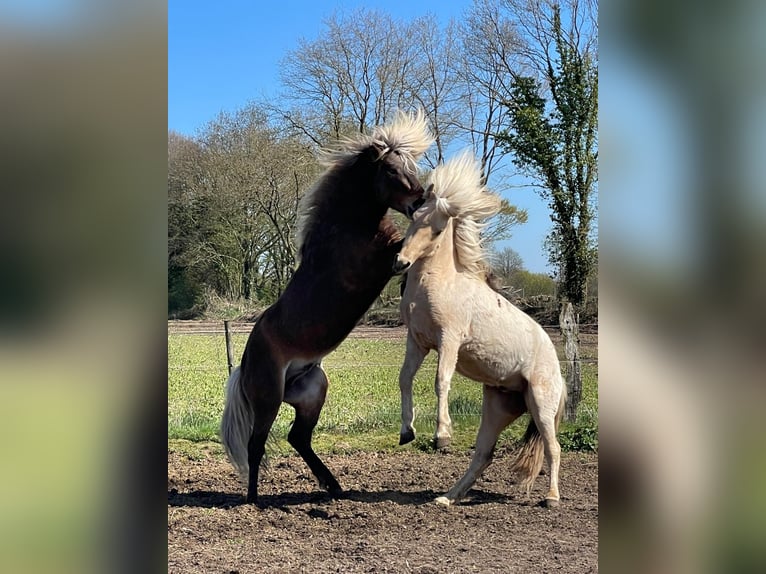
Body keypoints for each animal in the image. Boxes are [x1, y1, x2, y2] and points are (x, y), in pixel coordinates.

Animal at [221, 111, 434, 504]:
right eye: (391, 170)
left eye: (410, 165)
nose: (420, 202)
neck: (347, 226)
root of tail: (243, 365)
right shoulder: (374, 264)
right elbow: (405, 247)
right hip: (268, 399)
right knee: (257, 445)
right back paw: (254, 499)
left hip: (312, 391)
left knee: (297, 438)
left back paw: (333, 486)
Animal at [392, 151, 566, 507]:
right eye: (414, 216)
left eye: (437, 230)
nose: (400, 262)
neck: (440, 282)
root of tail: (557, 367)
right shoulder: (417, 342)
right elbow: (405, 379)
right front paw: (407, 432)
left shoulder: (449, 340)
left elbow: (440, 381)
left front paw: (442, 436)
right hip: (498, 408)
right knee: (483, 454)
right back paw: (447, 498)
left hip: (541, 405)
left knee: (553, 448)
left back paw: (552, 497)